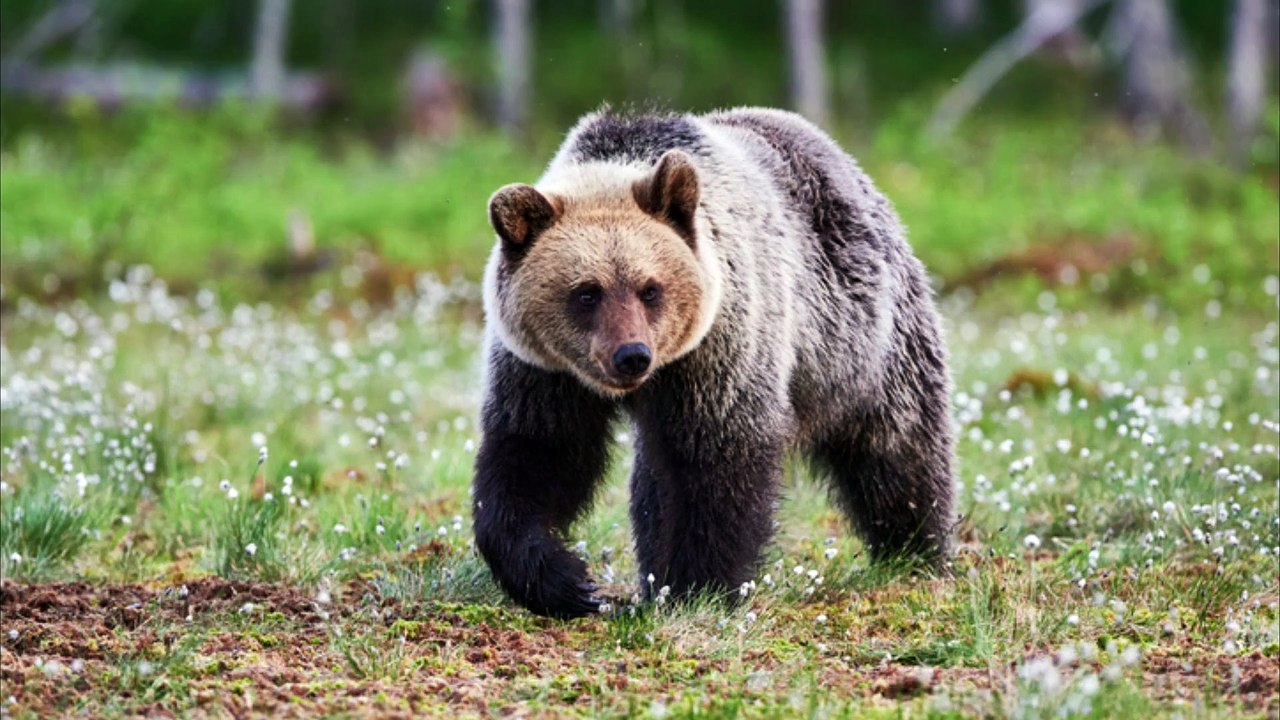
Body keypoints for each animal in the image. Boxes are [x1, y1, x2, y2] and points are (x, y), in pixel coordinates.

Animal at [473, 107, 955, 619]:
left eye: (650, 288)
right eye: (586, 292)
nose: (631, 355)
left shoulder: (719, 351)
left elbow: (719, 463)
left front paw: (698, 586)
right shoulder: (544, 371)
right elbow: (537, 455)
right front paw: (567, 581)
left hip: (864, 340)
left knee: (898, 449)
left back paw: (916, 551)